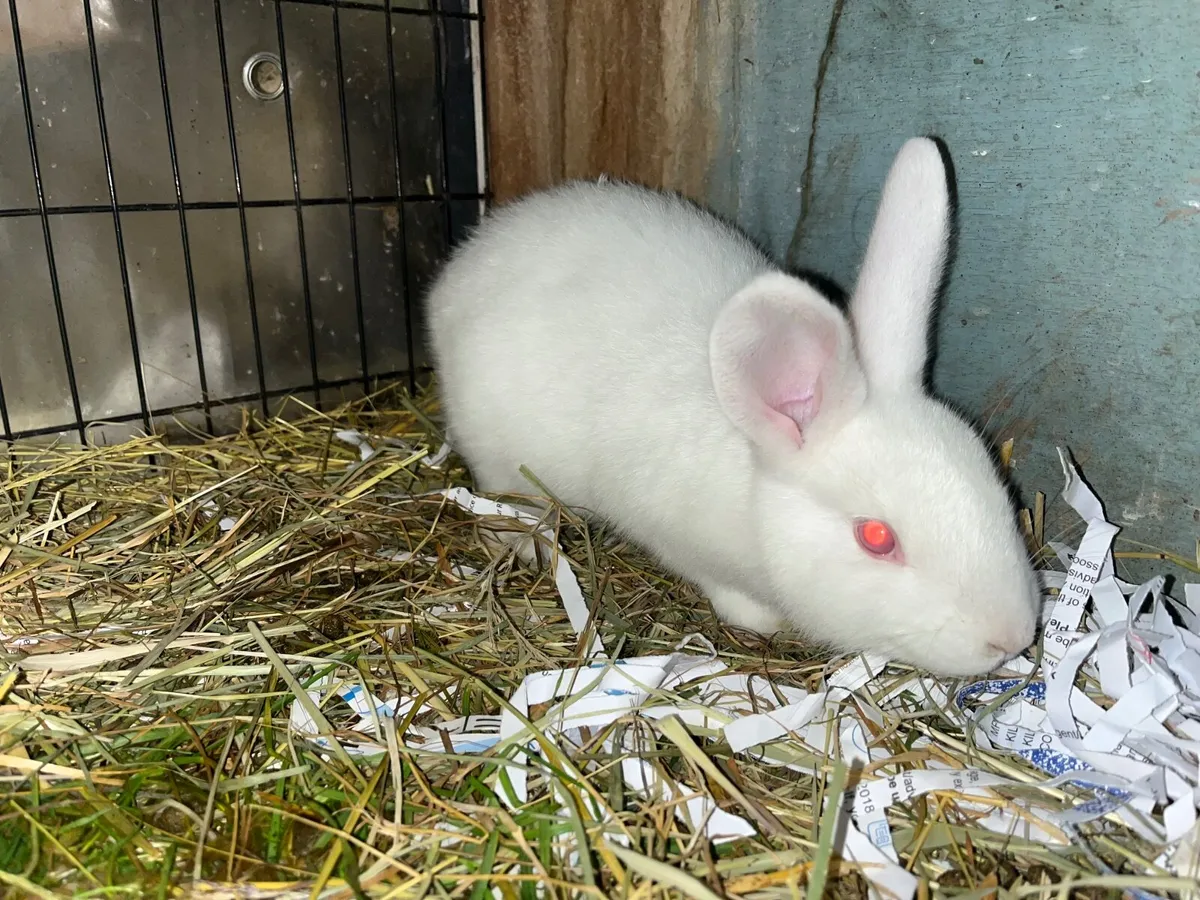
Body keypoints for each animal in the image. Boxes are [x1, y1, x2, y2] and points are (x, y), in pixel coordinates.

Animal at [426, 137, 1040, 678]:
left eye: (994, 484)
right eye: (876, 538)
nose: (1010, 638)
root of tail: (461, 270)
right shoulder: (678, 541)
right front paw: (763, 621)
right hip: (497, 451)